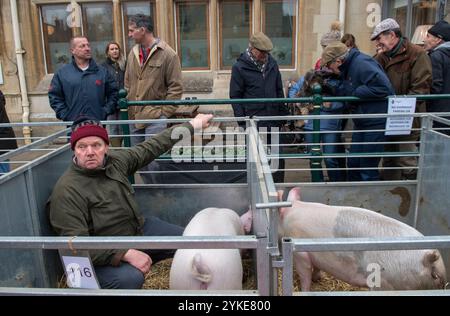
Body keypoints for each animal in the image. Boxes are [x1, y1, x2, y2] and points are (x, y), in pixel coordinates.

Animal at [278, 188, 446, 292]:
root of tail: (428, 258)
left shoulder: (300, 254)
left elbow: (304, 274)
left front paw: (305, 289)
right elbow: (317, 268)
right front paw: (317, 279)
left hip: (388, 284)